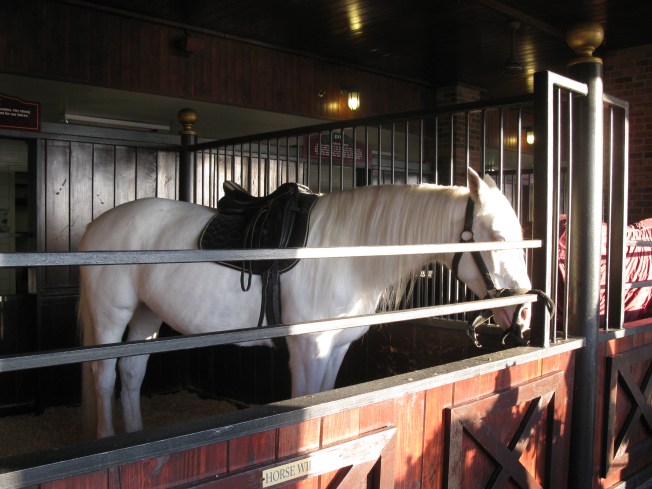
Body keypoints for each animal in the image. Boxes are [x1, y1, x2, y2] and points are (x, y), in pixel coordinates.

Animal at [78, 167, 532, 438]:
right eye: (495, 235)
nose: (524, 310)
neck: (345, 253)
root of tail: (97, 225)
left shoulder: (335, 349)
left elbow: (325, 399)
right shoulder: (306, 349)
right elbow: (307, 401)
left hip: (146, 314)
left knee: (131, 372)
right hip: (111, 315)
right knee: (103, 375)